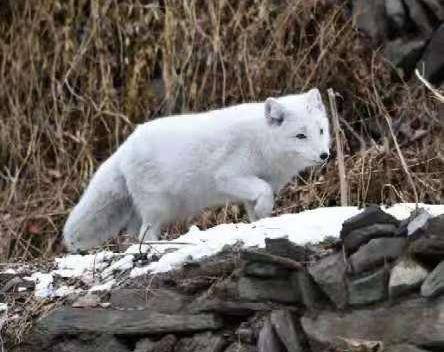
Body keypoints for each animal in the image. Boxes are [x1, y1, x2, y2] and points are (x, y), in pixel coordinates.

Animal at [64, 89, 332, 252]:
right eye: (300, 136)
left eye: (320, 131)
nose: (324, 156)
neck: (263, 142)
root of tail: (125, 146)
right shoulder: (228, 177)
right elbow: (264, 190)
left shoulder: (252, 187)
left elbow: (257, 209)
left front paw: (261, 223)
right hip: (158, 209)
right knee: (144, 234)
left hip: (146, 210)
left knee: (134, 233)